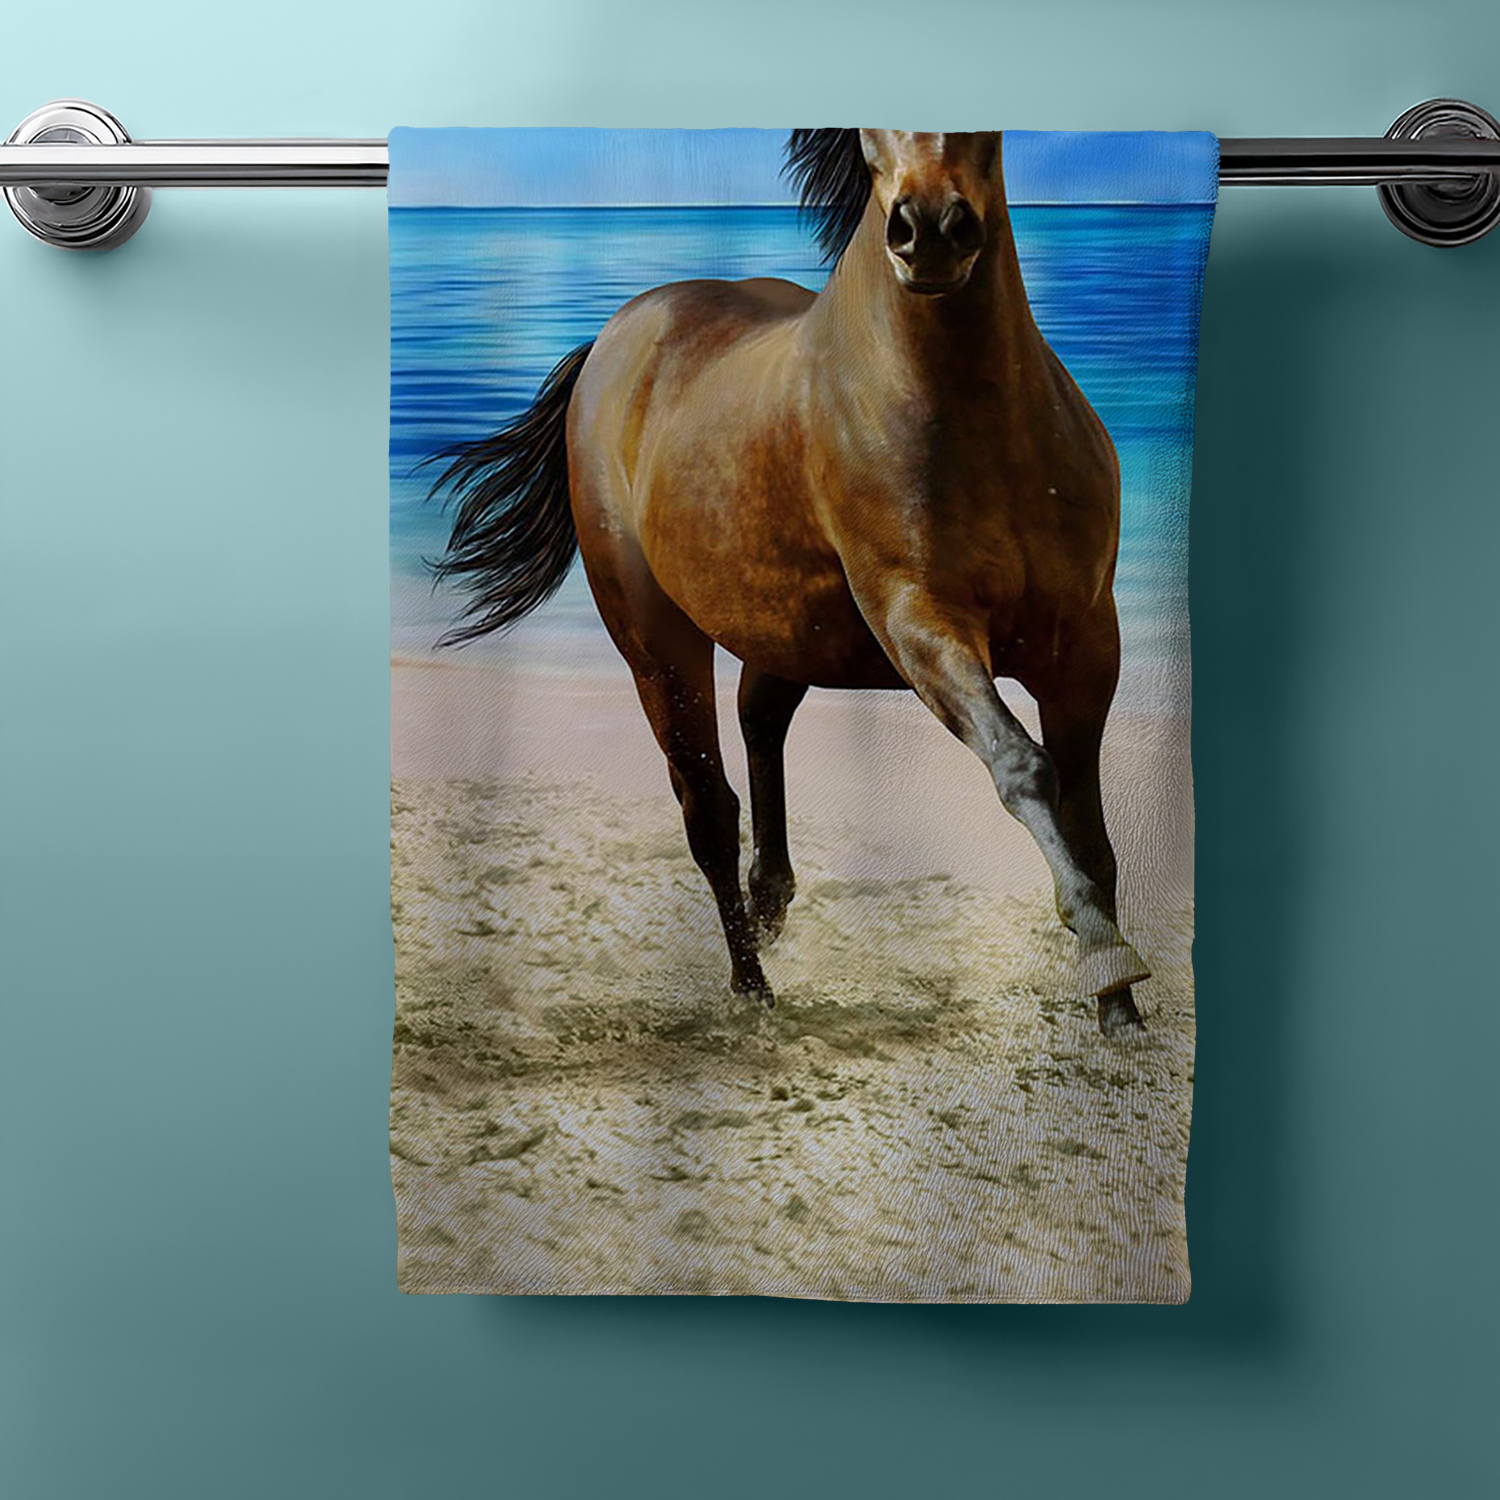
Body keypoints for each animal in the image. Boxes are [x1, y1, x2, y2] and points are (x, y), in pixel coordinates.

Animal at [426, 130, 1150, 1036]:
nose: (930, 230)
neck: (983, 427)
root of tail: (616, 336)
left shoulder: (1087, 644)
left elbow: (1092, 831)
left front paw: (1123, 1013)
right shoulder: (922, 626)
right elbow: (1024, 768)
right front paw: (1105, 956)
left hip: (789, 629)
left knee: (758, 718)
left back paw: (770, 903)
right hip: (655, 643)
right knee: (707, 806)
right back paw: (752, 988)